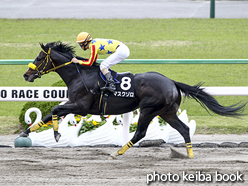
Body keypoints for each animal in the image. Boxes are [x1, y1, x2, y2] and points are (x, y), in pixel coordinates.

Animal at [20, 41, 246, 158]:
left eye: (39, 58)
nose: (26, 75)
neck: (80, 75)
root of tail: (171, 82)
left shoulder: (81, 107)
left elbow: (55, 110)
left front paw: (56, 134)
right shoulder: (75, 105)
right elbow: (49, 114)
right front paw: (25, 132)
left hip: (148, 109)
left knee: (140, 133)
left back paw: (117, 152)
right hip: (167, 112)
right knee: (184, 129)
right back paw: (189, 155)